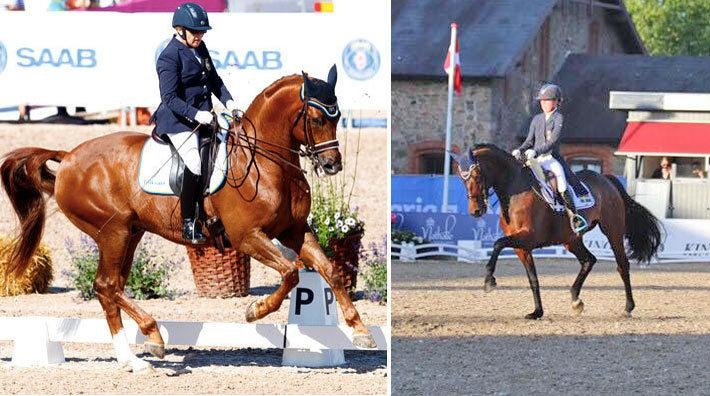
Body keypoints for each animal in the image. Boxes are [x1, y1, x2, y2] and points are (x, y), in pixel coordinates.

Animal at [1, 65, 378, 372]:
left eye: (338, 117)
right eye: (316, 119)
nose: (332, 165)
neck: (265, 163)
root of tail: (68, 158)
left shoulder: (294, 231)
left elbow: (329, 270)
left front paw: (360, 331)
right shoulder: (247, 236)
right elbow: (290, 272)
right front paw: (255, 310)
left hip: (130, 233)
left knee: (111, 288)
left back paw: (134, 356)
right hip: (113, 231)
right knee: (106, 285)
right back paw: (149, 340)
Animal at [454, 144, 664, 320]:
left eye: (477, 176)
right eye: (462, 179)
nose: (475, 211)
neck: (515, 190)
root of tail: (606, 179)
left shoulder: (528, 237)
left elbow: (498, 243)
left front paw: (489, 281)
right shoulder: (522, 247)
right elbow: (533, 278)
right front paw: (537, 312)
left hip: (613, 231)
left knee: (622, 265)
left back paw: (628, 307)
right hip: (571, 239)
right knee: (589, 260)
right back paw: (576, 300)